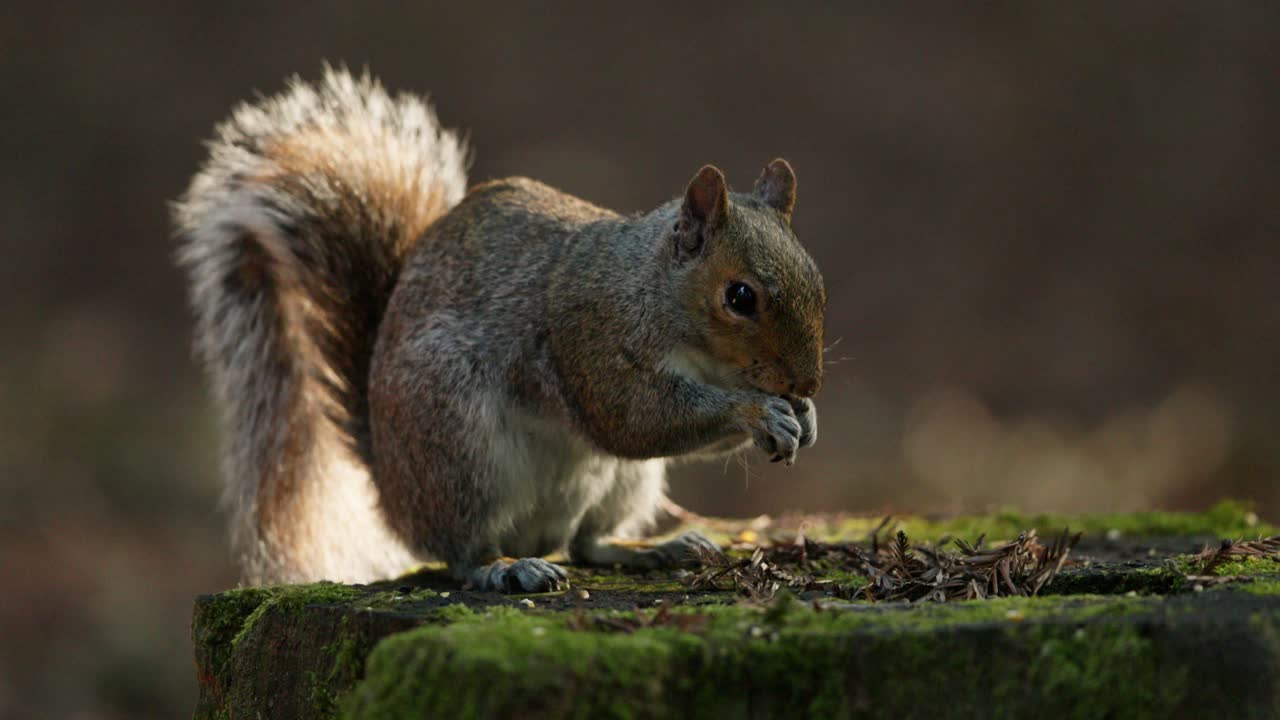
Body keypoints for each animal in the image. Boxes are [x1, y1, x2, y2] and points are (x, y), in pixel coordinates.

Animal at [174, 67, 826, 592]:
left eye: (817, 280)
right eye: (739, 297)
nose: (808, 384)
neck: (649, 288)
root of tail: (391, 485)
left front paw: (805, 417)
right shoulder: (589, 336)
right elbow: (635, 419)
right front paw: (758, 413)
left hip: (622, 485)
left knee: (587, 543)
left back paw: (655, 547)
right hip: (459, 451)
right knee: (460, 551)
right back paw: (505, 568)